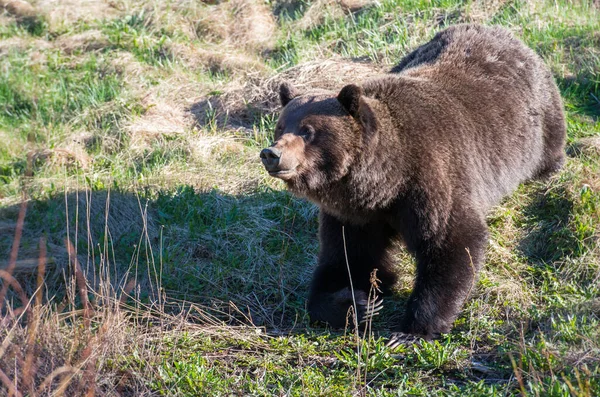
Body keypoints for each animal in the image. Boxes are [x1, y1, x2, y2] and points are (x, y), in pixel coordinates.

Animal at [260, 24, 564, 340]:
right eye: (280, 126)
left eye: (308, 131)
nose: (272, 154)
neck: (382, 182)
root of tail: (508, 35)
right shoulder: (353, 215)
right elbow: (344, 259)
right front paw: (356, 304)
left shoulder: (430, 179)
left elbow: (453, 242)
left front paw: (411, 329)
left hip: (540, 121)